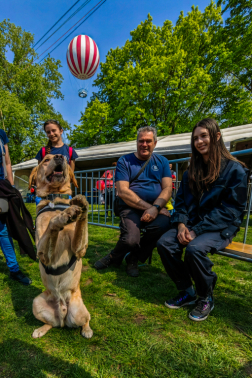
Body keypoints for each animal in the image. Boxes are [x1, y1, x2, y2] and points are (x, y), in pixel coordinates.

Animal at [28, 154, 93, 340]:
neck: (54, 199)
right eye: (45, 160)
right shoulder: (43, 253)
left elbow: (81, 222)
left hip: (79, 311)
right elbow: (52, 223)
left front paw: (81, 205)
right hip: (36, 303)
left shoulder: (79, 250)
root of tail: (63, 311)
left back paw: (87, 330)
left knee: (87, 319)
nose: (59, 156)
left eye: (63, 156)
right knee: (51, 323)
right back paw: (40, 330)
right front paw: (62, 217)